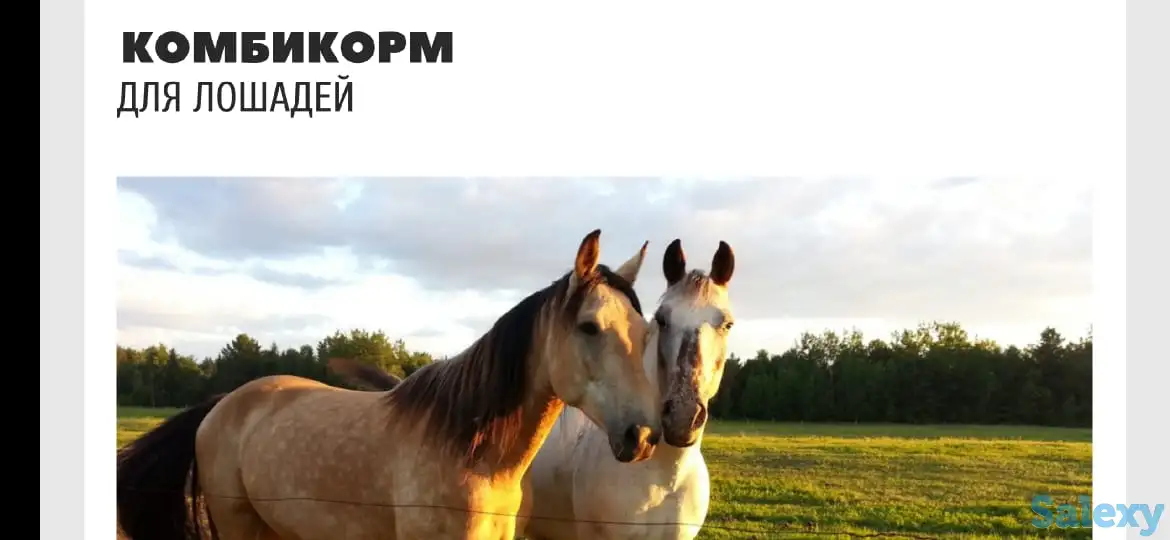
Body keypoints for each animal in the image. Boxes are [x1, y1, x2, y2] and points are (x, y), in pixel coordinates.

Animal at [115, 229, 664, 540]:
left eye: (644, 331)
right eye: (589, 327)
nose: (643, 436)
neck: (472, 451)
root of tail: (222, 405)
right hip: (239, 526)